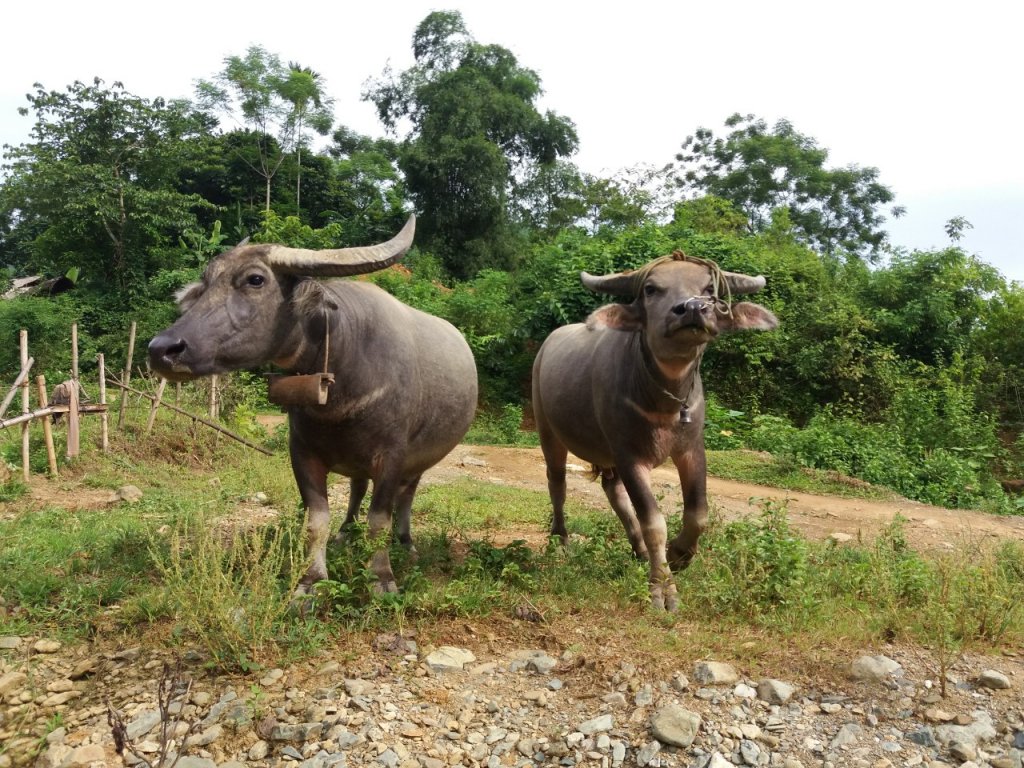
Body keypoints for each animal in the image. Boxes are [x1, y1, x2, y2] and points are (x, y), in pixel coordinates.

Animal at [149, 217, 478, 598]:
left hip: (420, 460)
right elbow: (316, 520)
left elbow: (379, 519)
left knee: (406, 495)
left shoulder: (393, 455)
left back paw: (405, 542)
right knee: (357, 489)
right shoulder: (302, 452)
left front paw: (381, 577)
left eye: (255, 279)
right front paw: (311, 579)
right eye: (205, 285)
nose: (161, 349)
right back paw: (345, 534)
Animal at [532, 251, 778, 610]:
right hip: (548, 431)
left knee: (613, 491)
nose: (692, 308)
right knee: (557, 484)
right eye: (651, 289)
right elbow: (654, 521)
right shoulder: (629, 454)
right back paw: (561, 541)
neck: (665, 401)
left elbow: (698, 514)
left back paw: (638, 550)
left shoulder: (691, 449)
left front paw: (678, 555)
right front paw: (663, 587)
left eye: (709, 289)